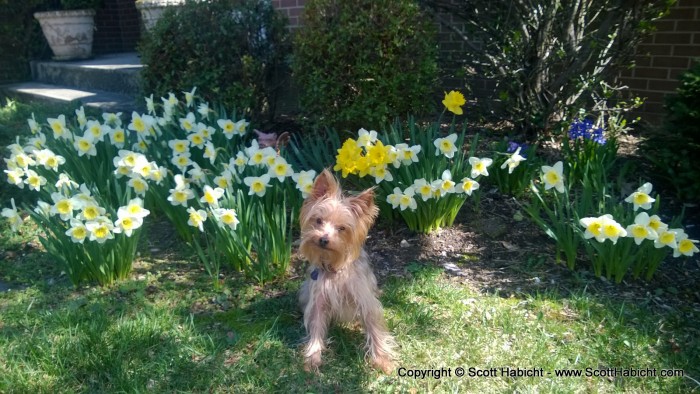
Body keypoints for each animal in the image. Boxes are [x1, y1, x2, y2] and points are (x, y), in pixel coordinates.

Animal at [296, 169, 396, 372]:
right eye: (318, 220)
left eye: (341, 228)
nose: (323, 239)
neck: (334, 268)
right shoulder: (319, 301)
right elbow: (316, 326)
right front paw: (313, 356)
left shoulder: (364, 298)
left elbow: (374, 328)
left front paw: (382, 359)